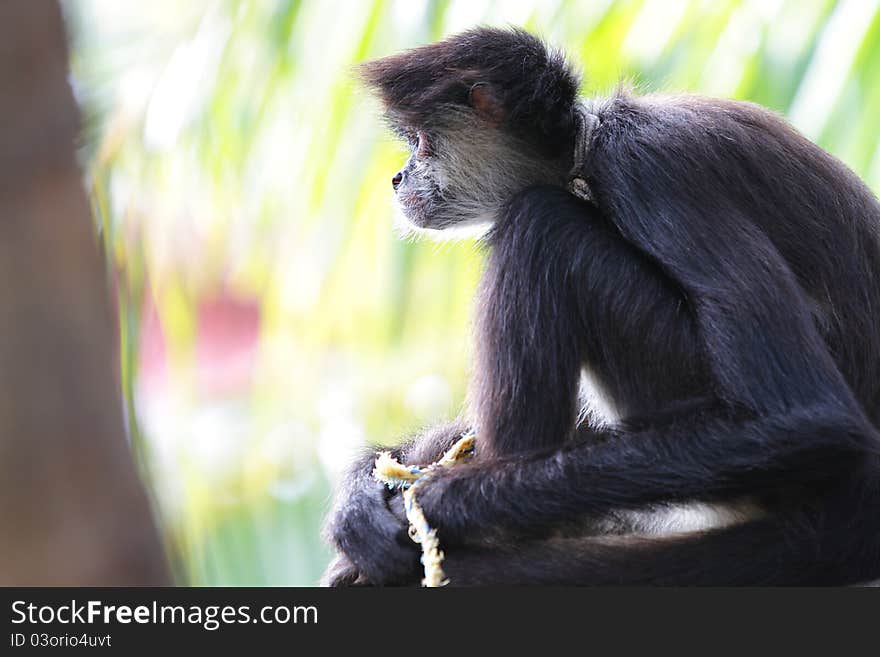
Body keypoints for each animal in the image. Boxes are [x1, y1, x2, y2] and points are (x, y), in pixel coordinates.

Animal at [324, 28, 880, 588]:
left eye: (420, 142)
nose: (397, 178)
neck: (585, 149)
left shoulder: (646, 166)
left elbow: (809, 418)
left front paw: (435, 502)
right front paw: (362, 497)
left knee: (543, 223)